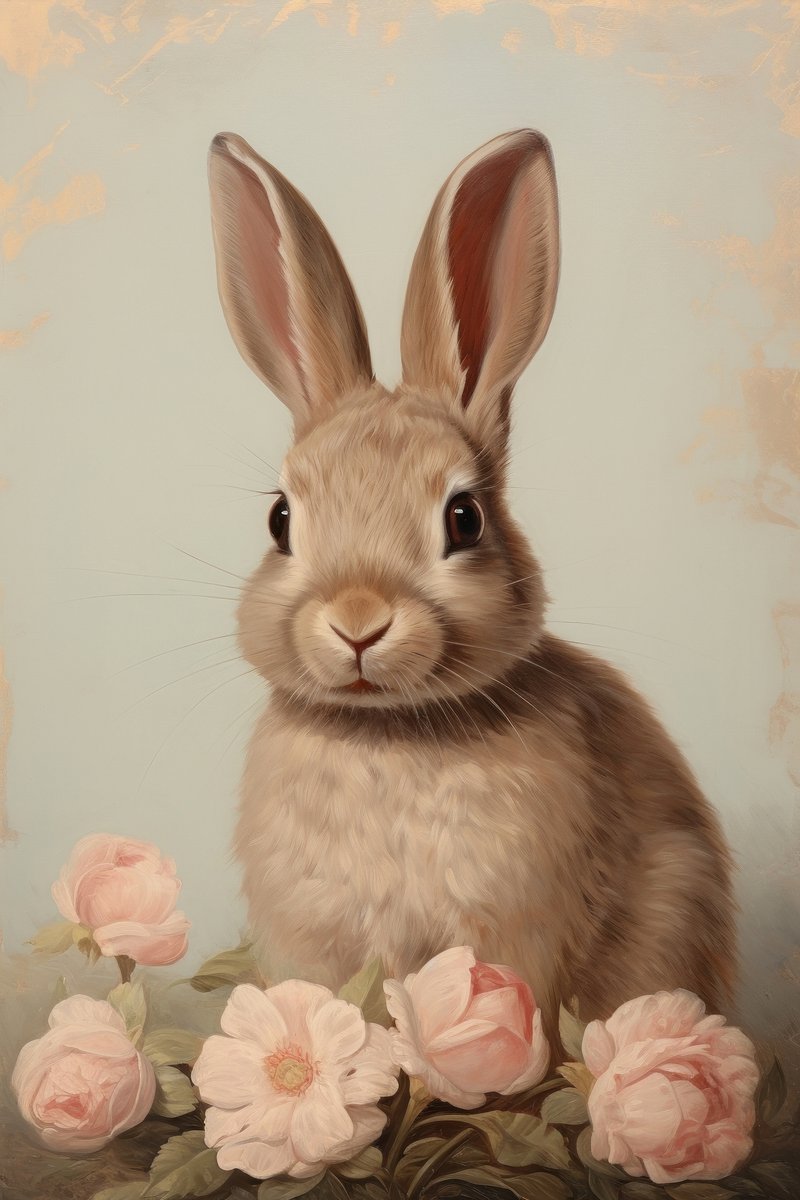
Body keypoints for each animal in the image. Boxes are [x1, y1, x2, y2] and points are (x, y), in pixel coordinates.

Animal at [207, 129, 737, 1047]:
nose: (358, 621)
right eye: (279, 520)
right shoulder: (313, 943)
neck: (386, 734)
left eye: (464, 519)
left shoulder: (511, 933)